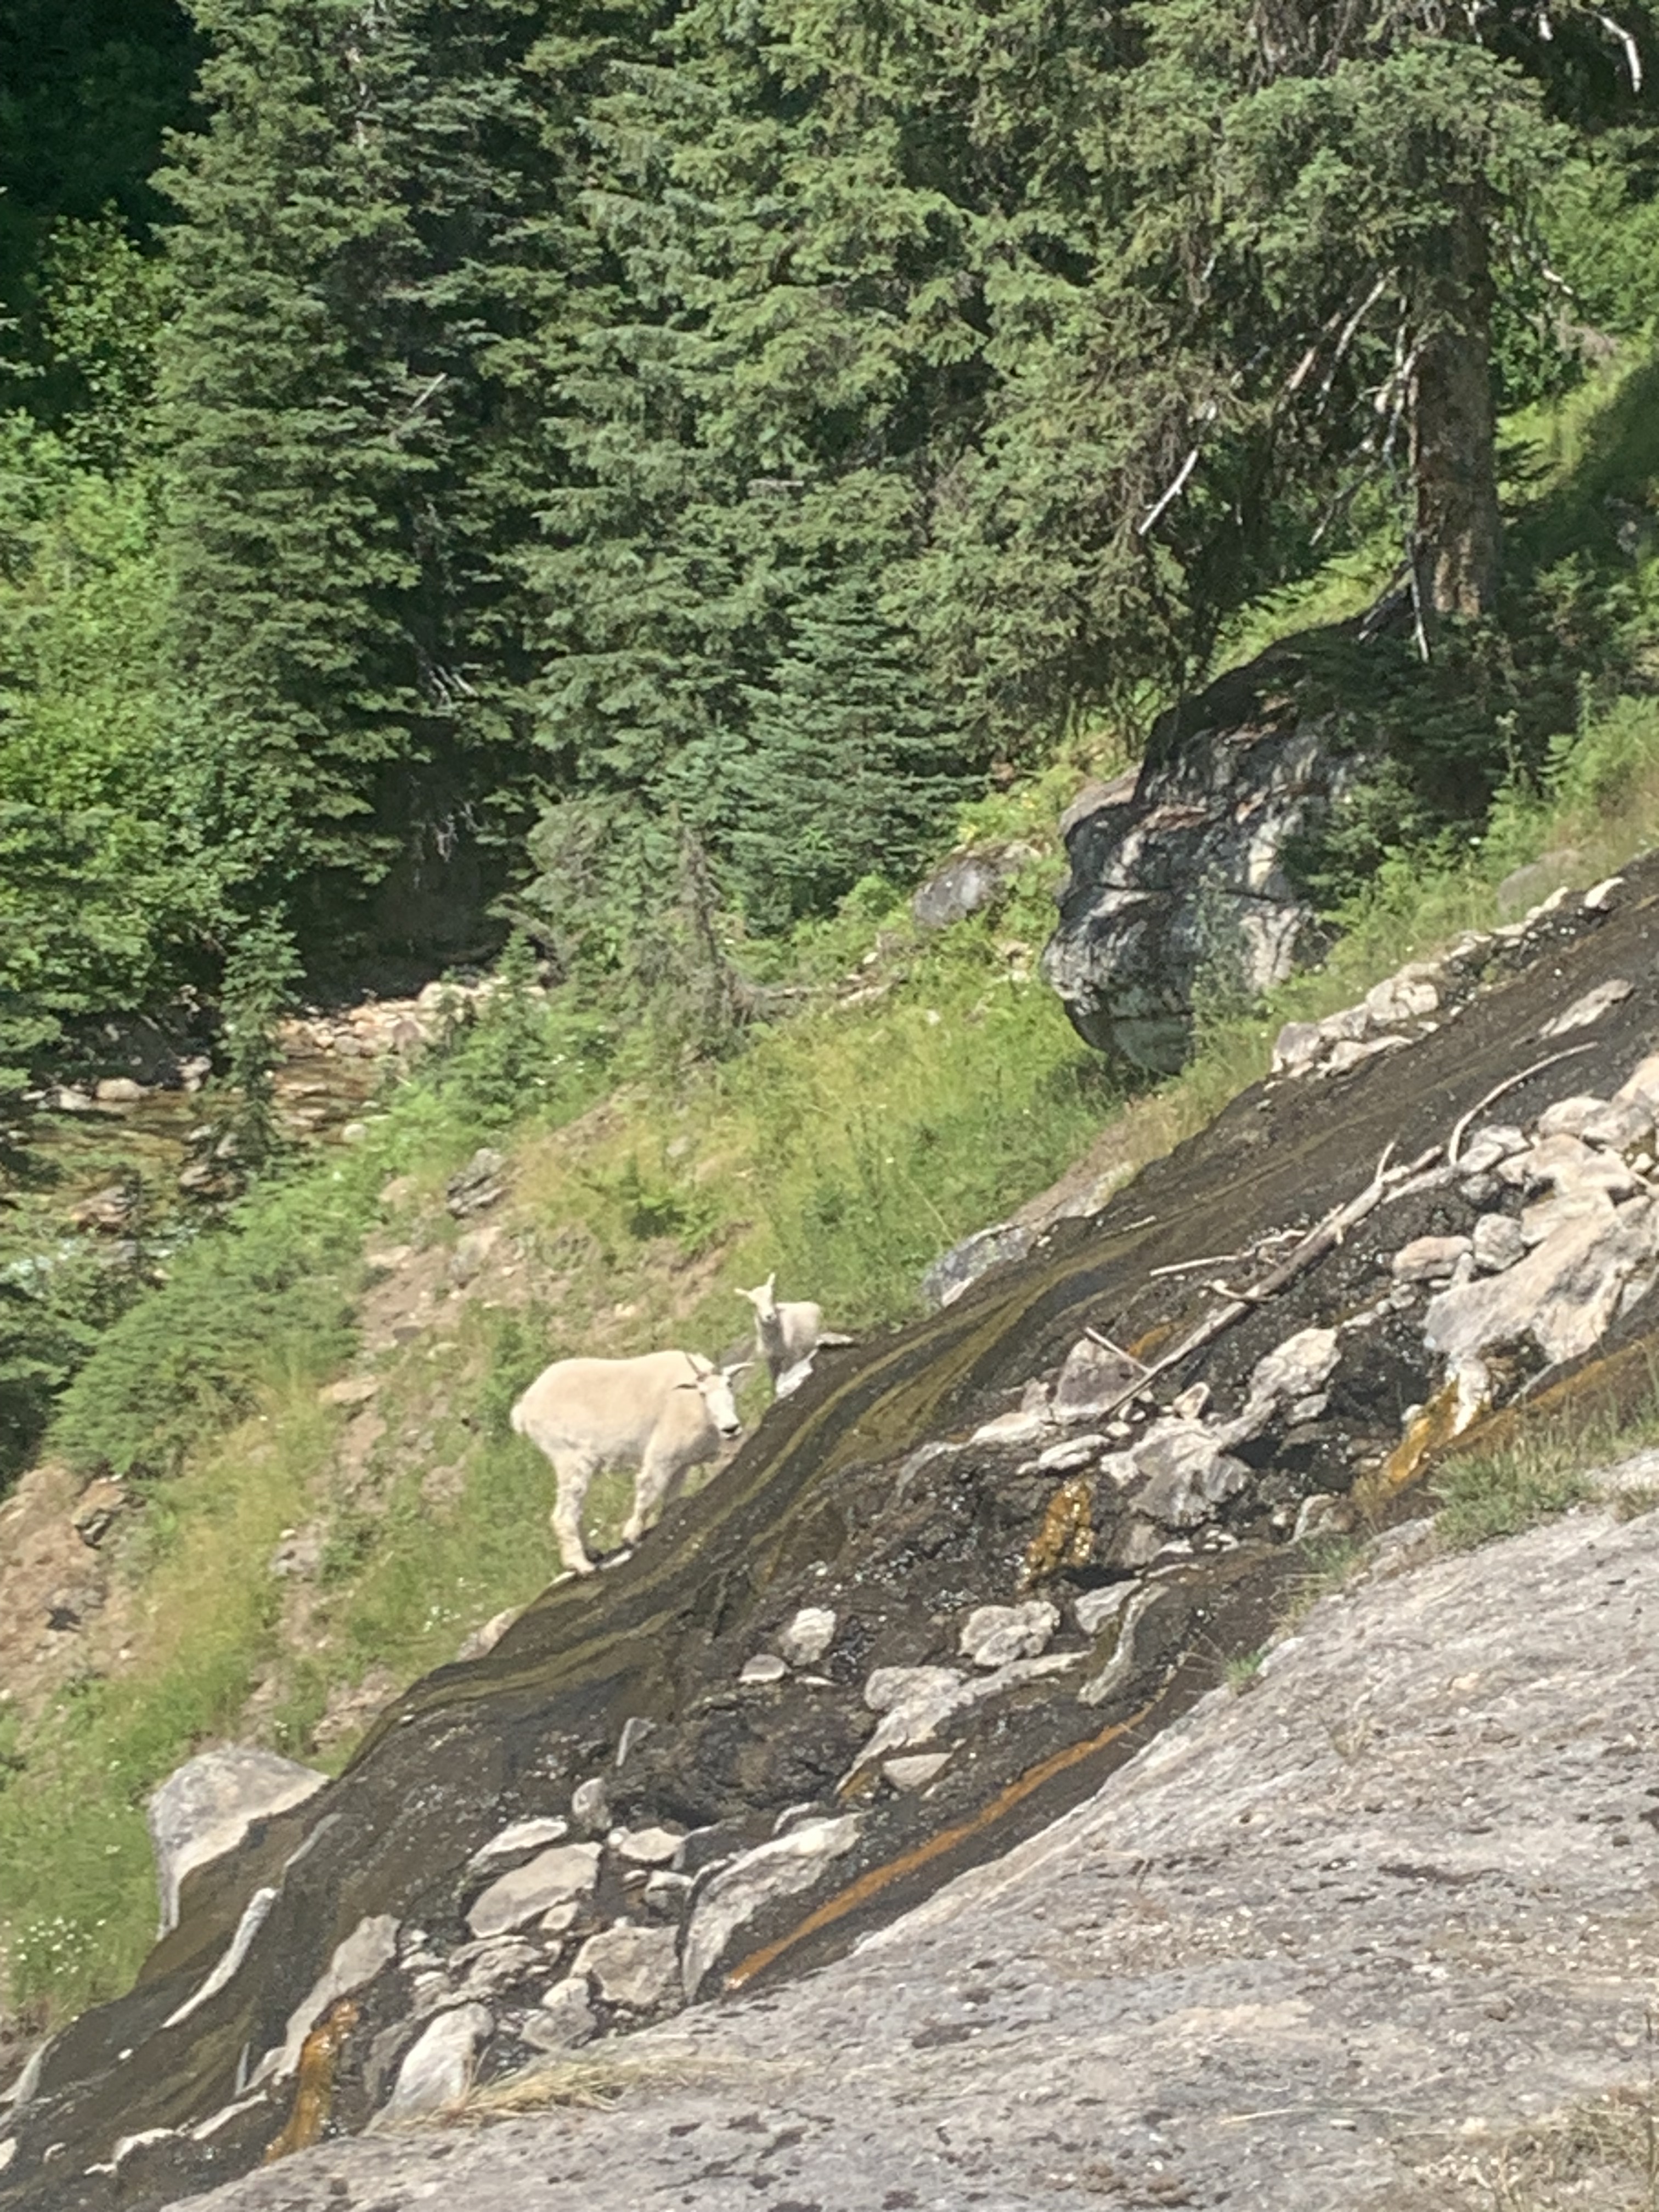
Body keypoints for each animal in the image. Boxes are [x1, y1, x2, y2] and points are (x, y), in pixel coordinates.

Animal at [510, 1349, 749, 1576]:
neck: (693, 1403)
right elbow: (648, 1492)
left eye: (729, 1385)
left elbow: (671, 1497)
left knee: (575, 1509)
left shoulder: (681, 1462)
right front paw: (630, 1536)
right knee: (563, 1514)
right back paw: (581, 1565)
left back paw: (593, 1554)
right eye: (702, 1393)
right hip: (569, 1458)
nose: (731, 1429)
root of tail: (524, 1409)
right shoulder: (663, 1453)